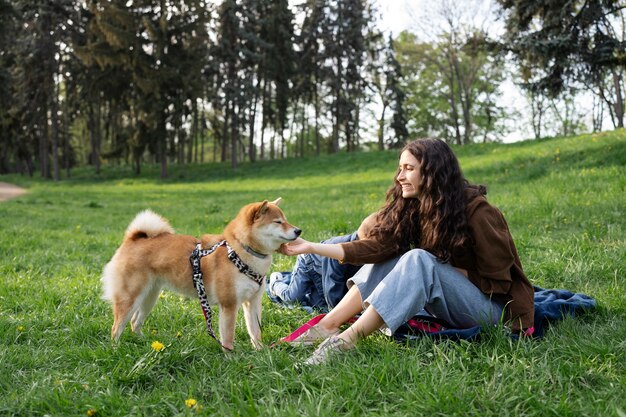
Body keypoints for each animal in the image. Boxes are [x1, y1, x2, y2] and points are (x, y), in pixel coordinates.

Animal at [101, 198, 302, 348]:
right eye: (278, 222)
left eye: (286, 220)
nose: (298, 230)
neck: (240, 252)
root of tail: (133, 239)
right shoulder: (229, 305)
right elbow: (228, 337)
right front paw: (231, 358)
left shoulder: (252, 302)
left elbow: (255, 331)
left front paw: (260, 352)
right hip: (130, 298)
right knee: (116, 327)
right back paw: (116, 348)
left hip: (150, 297)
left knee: (135, 322)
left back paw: (144, 342)